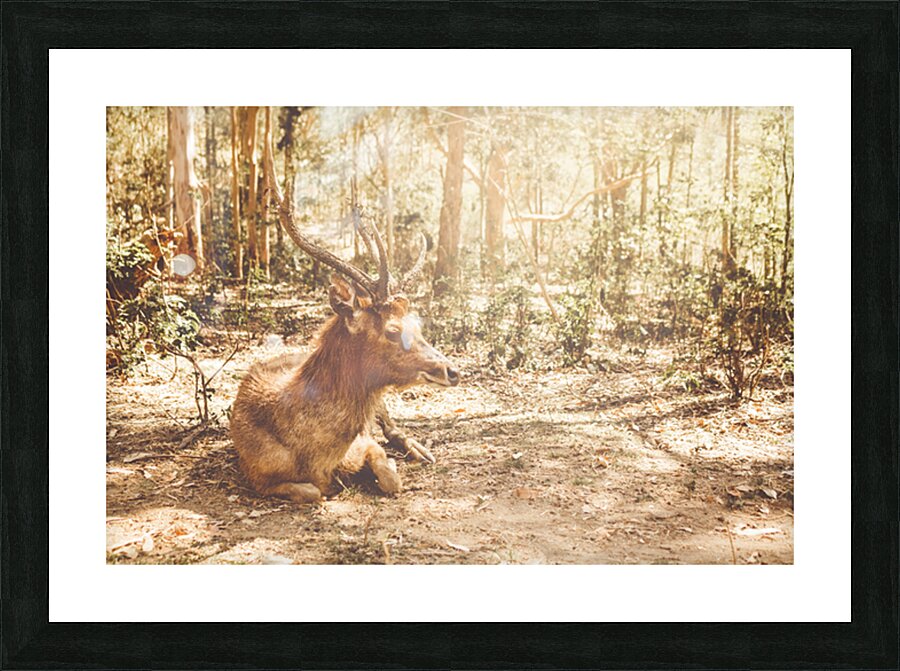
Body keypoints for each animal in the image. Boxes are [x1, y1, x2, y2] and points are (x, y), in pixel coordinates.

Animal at [230, 138, 459, 504]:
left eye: (419, 325)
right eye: (393, 331)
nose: (452, 370)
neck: (316, 456)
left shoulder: (364, 443)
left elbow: (390, 477)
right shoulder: (254, 474)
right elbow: (312, 492)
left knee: (390, 423)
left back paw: (419, 449)